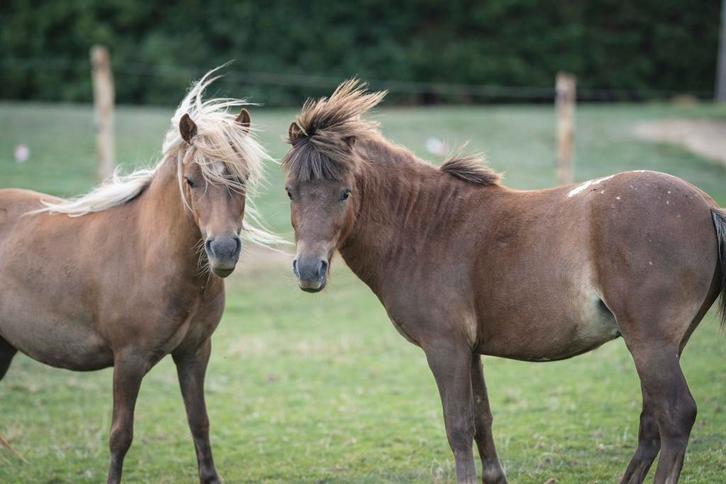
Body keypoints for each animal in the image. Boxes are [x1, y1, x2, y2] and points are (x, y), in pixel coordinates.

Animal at [0, 70, 276, 483]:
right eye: (191, 180)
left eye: (242, 178)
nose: (224, 250)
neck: (152, 256)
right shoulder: (128, 360)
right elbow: (120, 436)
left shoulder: (195, 352)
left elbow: (199, 423)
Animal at [281, 81, 726, 484]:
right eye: (290, 192)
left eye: (344, 192)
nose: (309, 270)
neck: (428, 226)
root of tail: (706, 205)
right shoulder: (470, 350)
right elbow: (482, 418)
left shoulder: (446, 348)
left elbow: (459, 426)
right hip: (661, 346)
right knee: (653, 421)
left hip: (651, 344)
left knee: (676, 415)